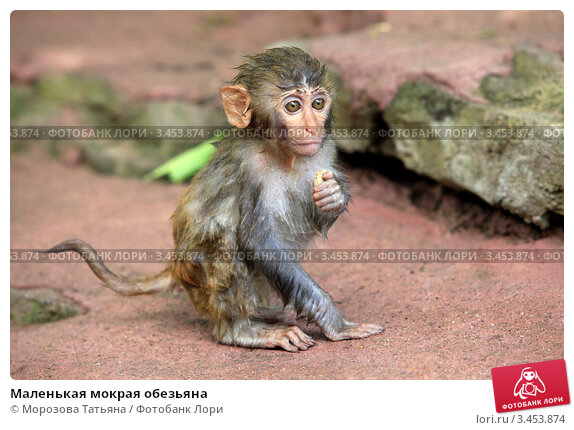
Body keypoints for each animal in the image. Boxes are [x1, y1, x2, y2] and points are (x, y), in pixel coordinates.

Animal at [48, 47, 382, 352]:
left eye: (318, 103)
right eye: (292, 106)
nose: (311, 126)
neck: (281, 153)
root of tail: (175, 265)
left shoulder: (323, 152)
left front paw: (333, 194)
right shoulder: (250, 169)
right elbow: (261, 244)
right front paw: (335, 323)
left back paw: (265, 313)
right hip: (197, 277)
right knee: (223, 239)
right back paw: (240, 330)